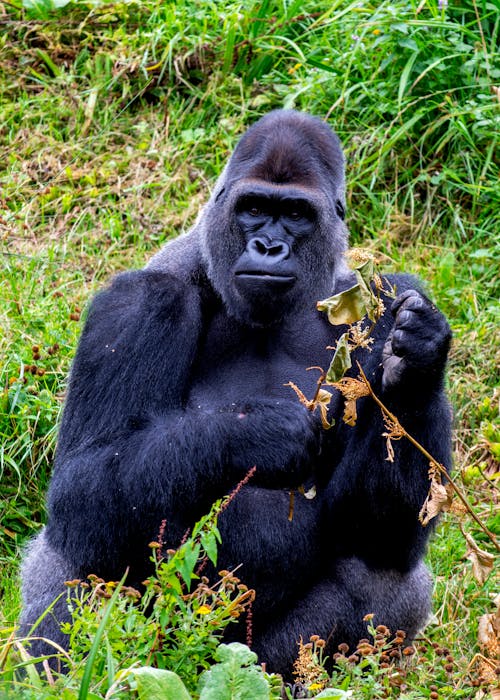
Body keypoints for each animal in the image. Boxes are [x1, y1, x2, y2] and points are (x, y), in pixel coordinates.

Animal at [19, 110, 452, 680]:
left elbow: (385, 530)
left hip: (254, 657)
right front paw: (257, 435)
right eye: (254, 209)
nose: (268, 247)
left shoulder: (384, 298)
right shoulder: (139, 302)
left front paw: (417, 363)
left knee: (380, 569)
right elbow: (83, 481)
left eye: (294, 213)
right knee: (80, 553)